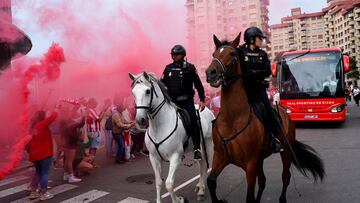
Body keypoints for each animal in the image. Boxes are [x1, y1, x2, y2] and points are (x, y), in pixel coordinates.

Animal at [129, 72, 214, 202]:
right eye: (133, 93)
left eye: (148, 91)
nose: (140, 120)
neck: (159, 126)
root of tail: (207, 110)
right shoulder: (154, 158)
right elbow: (158, 182)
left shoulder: (175, 157)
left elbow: (169, 183)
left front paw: (178, 199)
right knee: (201, 164)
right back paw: (199, 186)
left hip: (207, 144)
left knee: (205, 166)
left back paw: (201, 191)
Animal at [204, 32, 324, 202]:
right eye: (214, 54)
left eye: (232, 54)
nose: (211, 73)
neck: (232, 118)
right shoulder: (221, 157)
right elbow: (211, 181)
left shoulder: (250, 163)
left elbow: (249, 196)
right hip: (260, 159)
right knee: (263, 181)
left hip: (285, 152)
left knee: (285, 176)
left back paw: (282, 198)